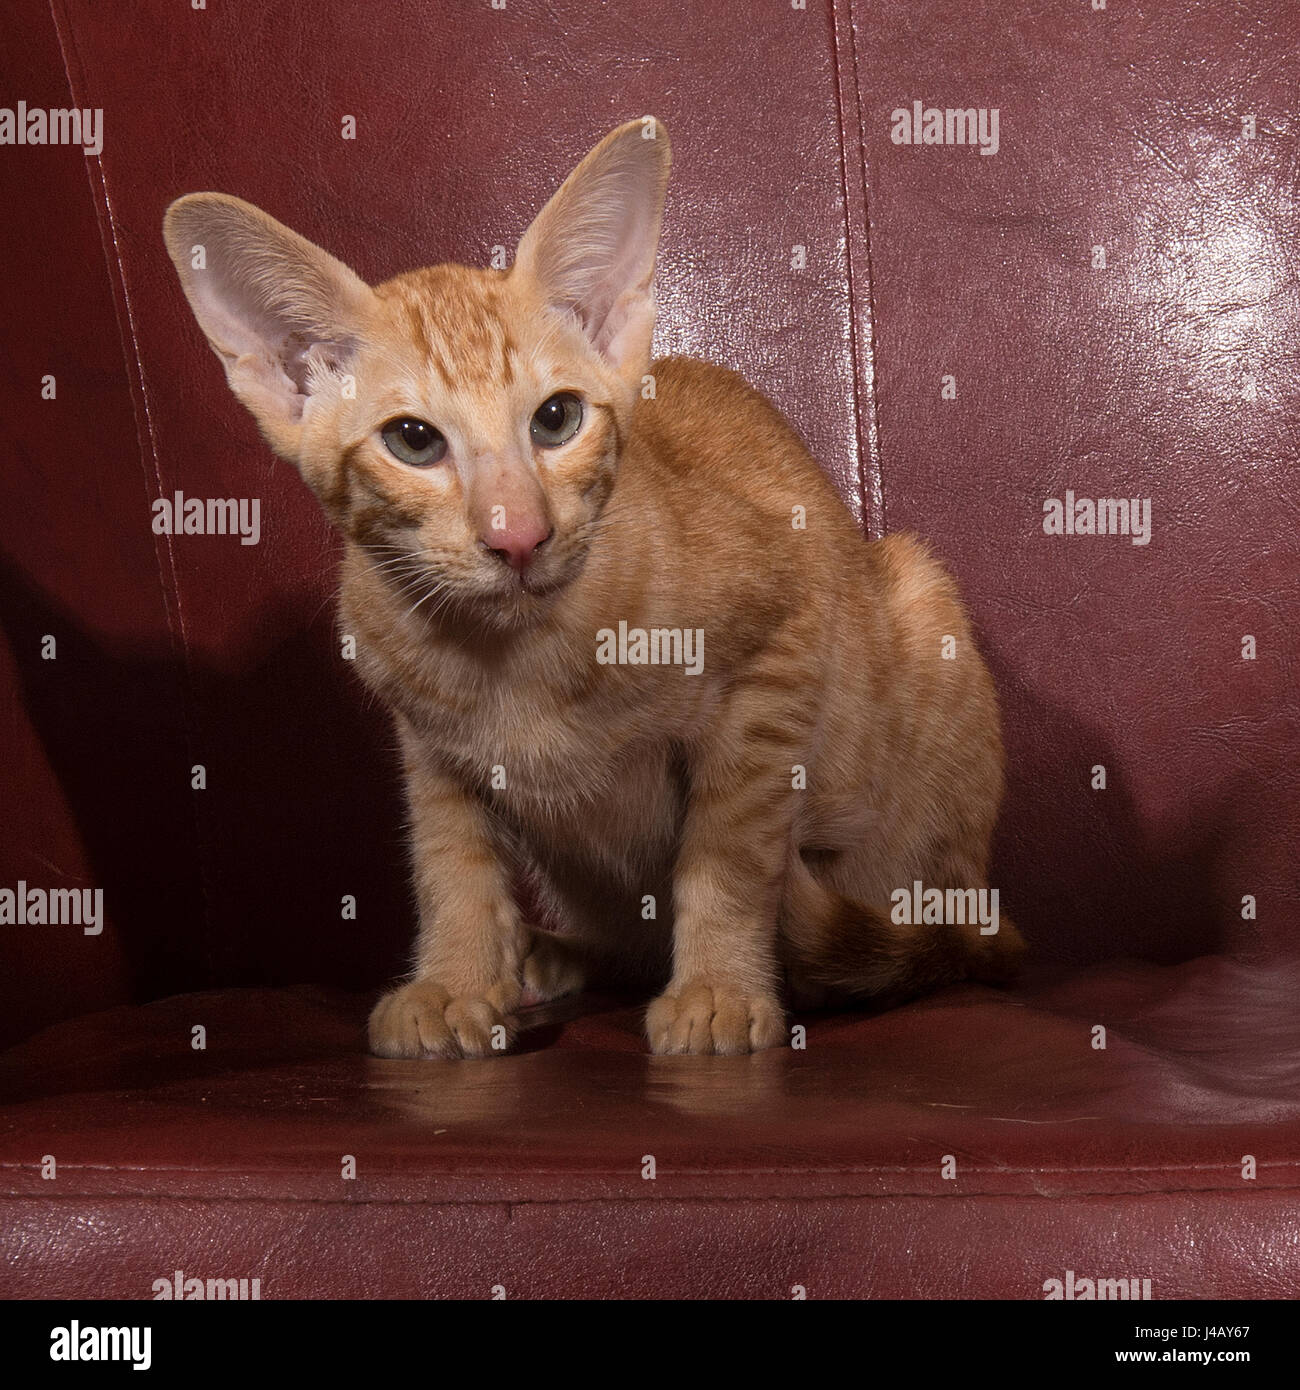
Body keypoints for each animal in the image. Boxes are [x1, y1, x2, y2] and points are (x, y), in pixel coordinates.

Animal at [162, 119, 1023, 1056]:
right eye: (413, 441)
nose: (518, 537)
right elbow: (449, 864)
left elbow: (728, 851)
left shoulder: (783, 641)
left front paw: (719, 988)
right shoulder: (427, 747)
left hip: (920, 605)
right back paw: (548, 952)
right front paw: (455, 980)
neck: (511, 653)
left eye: (556, 419)